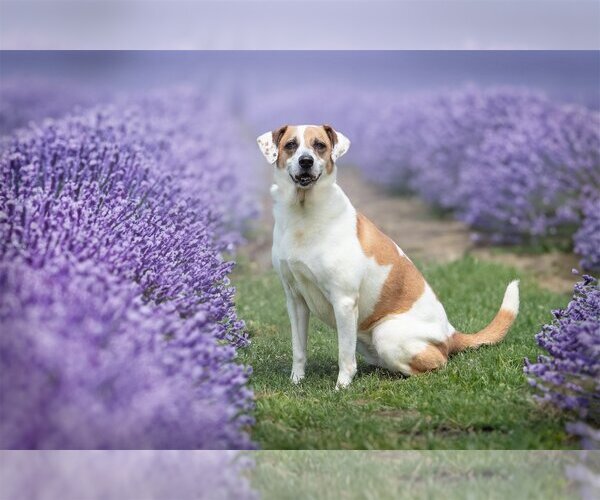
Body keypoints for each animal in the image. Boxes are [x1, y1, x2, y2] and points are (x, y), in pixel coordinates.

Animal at [255, 123, 516, 388]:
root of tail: (450, 333)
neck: (303, 214)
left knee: (437, 364)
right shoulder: (295, 299)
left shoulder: (344, 301)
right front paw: (296, 381)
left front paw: (342, 387)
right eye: (291, 145)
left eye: (320, 145)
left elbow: (344, 355)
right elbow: (298, 349)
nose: (306, 161)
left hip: (386, 334)